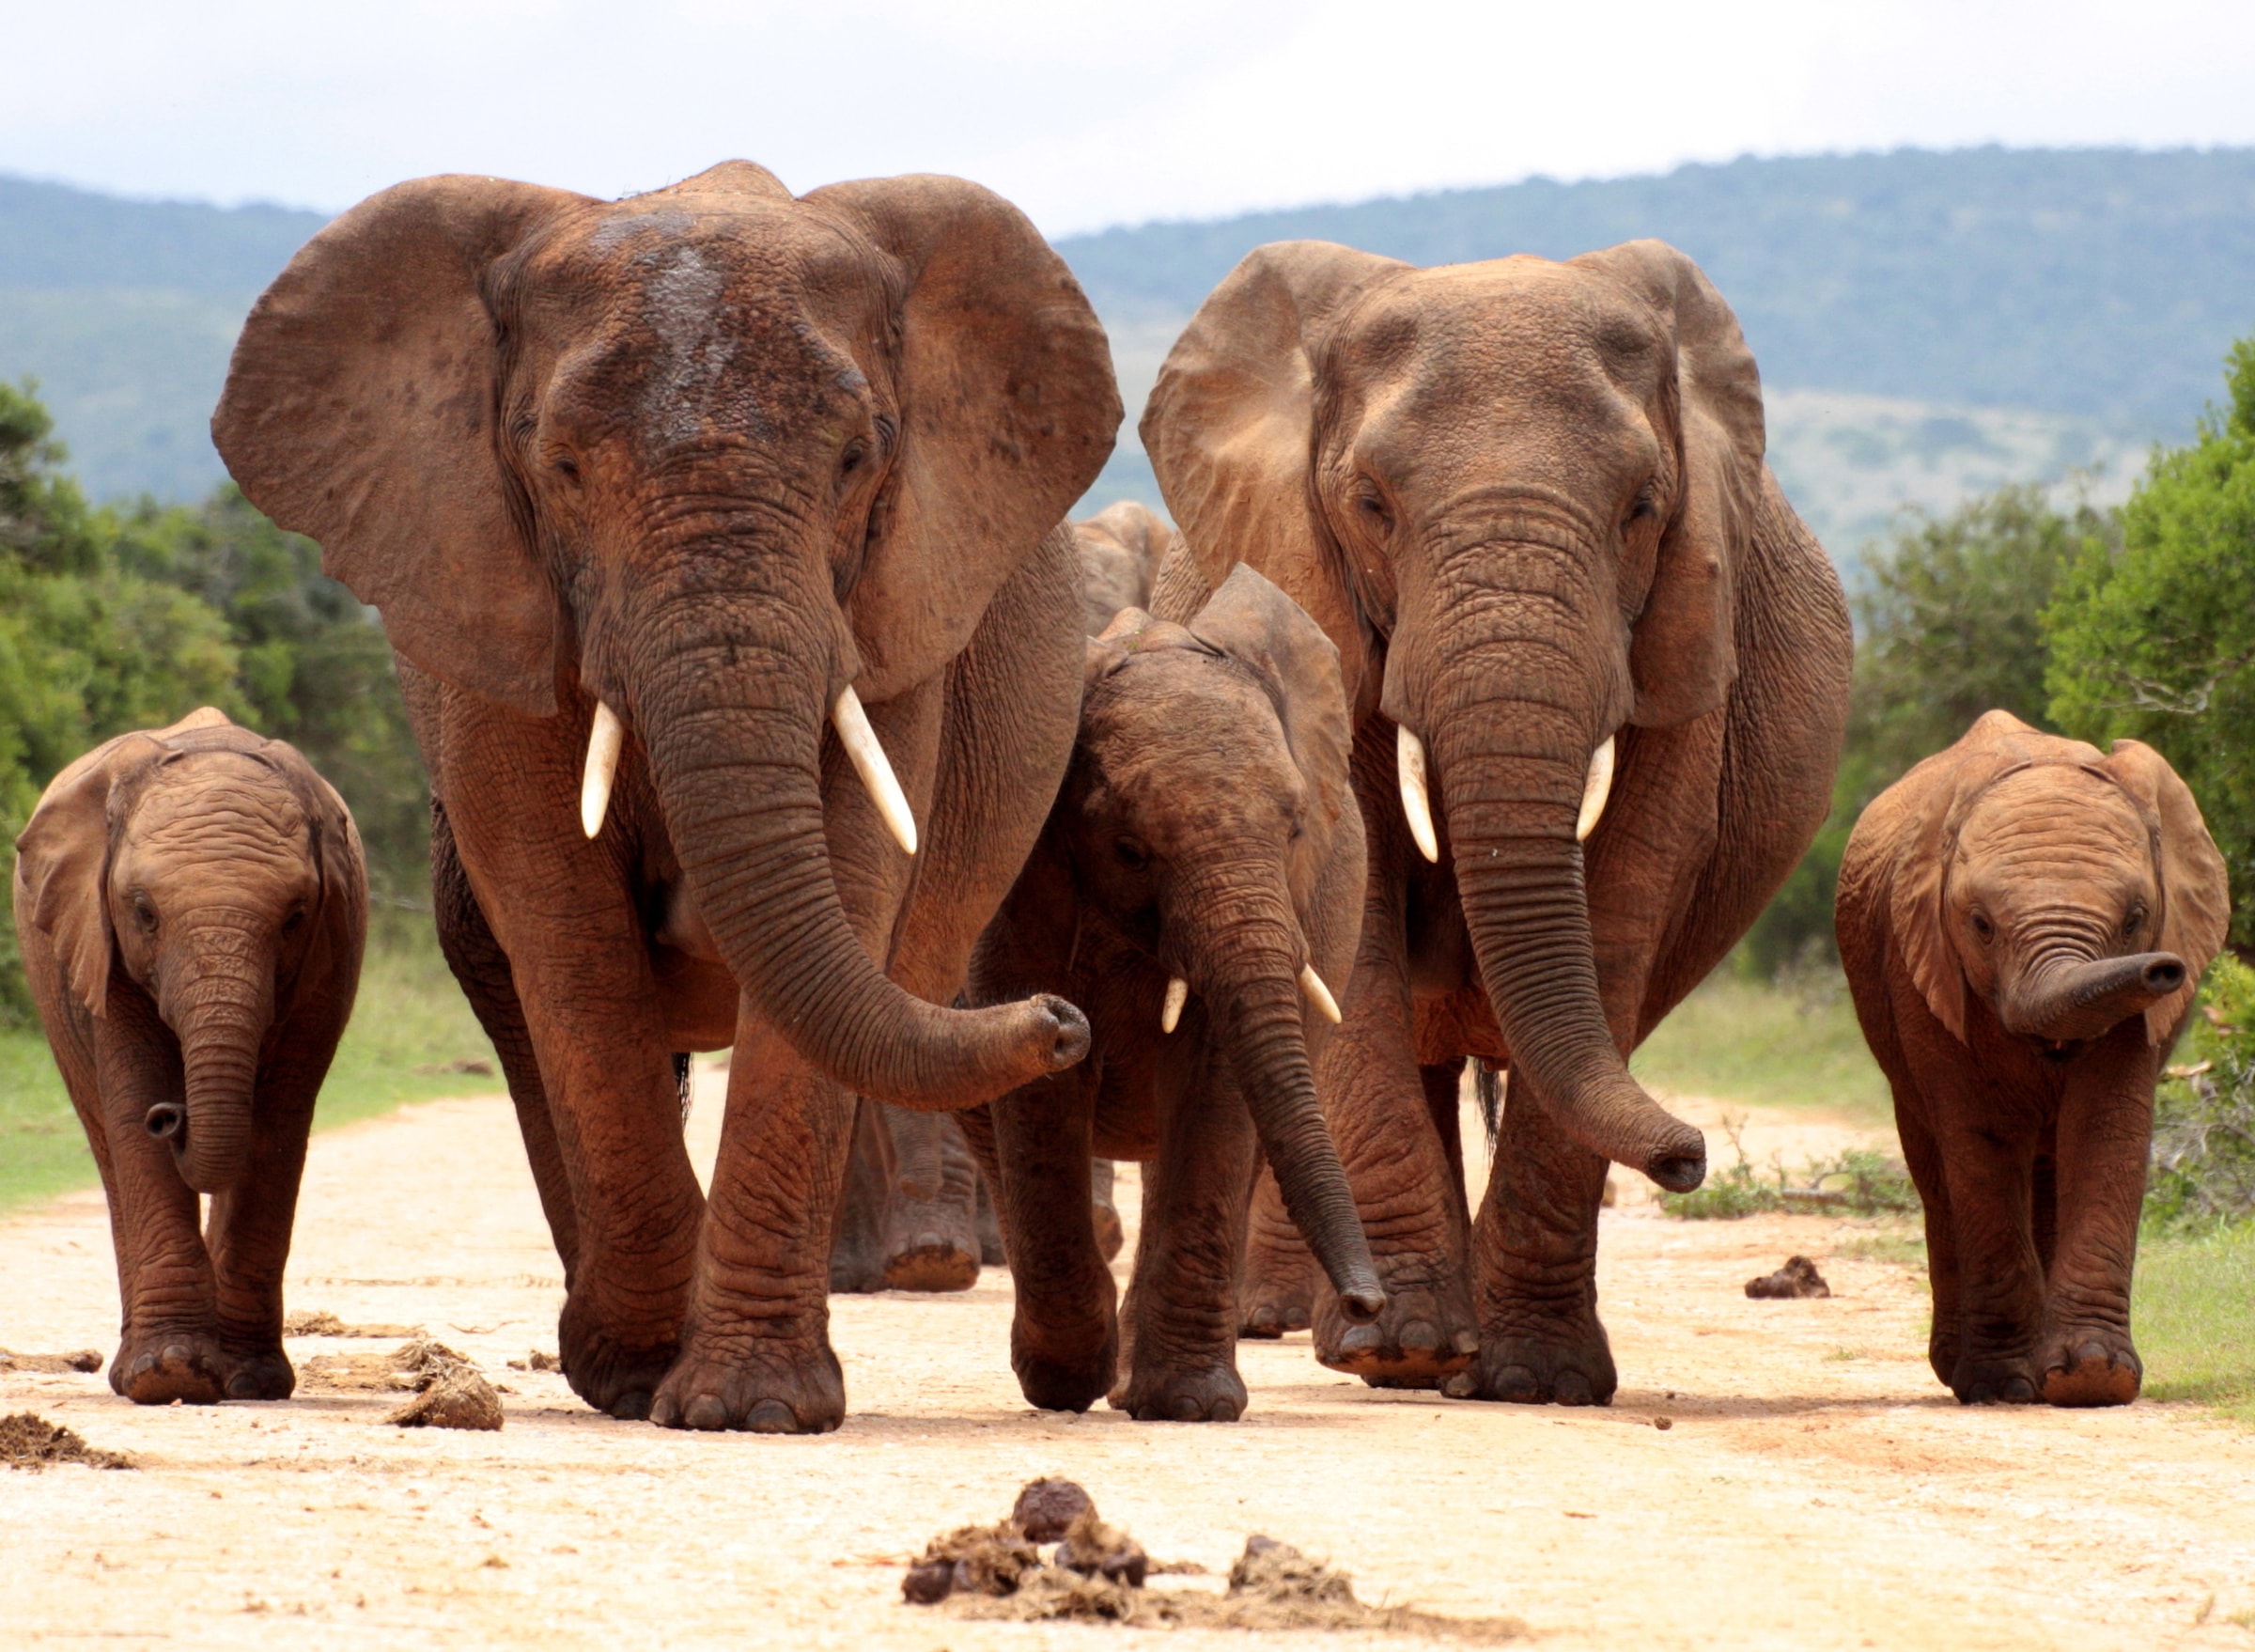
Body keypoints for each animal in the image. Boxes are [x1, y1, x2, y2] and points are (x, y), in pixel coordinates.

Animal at [11, 707, 366, 1404]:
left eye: (295, 917)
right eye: (143, 912)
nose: (171, 1116)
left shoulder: (330, 950)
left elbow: (279, 1122)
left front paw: (251, 1381)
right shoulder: (98, 941)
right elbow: (132, 1101)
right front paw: (170, 1373)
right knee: (107, 1141)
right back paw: (136, 1371)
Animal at [212, 161, 1120, 1432]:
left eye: (858, 460)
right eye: (560, 468)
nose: (1063, 1019)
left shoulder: (891, 612)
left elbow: (850, 889)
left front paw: (750, 1408)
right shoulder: (492, 612)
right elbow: (567, 933)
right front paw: (646, 1374)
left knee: (922, 1006)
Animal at [965, 564, 1385, 1421]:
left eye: (1296, 831)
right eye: (1129, 849)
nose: (1369, 1305)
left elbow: (1216, 1084)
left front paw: (1190, 1404)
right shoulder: (1019, 884)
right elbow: (1041, 1079)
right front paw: (1068, 1382)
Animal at [1139, 238, 1853, 1402]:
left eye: (1643, 506)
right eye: (1370, 503)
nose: (1691, 1156)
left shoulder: (1683, 642)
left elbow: (1621, 908)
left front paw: (1538, 1380)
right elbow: (1360, 908)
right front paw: (1406, 1352)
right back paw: (1361, 1334)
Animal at [1835, 710, 2228, 1406]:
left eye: (2136, 919)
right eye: (1980, 924)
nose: (2164, 970)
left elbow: (2106, 1126)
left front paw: (2092, 1377)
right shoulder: (1923, 966)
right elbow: (1980, 1140)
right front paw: (2002, 1385)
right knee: (1936, 1166)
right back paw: (1961, 1369)